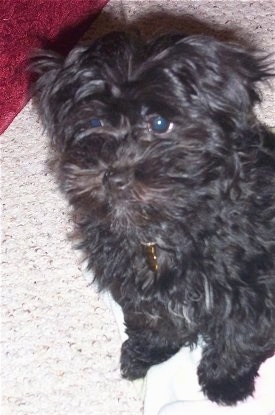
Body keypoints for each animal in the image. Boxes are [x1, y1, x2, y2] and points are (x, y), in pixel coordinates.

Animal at [32, 31, 275, 406]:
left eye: (159, 123)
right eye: (94, 123)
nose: (114, 176)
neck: (161, 227)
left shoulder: (254, 287)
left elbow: (241, 335)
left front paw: (224, 383)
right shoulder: (136, 284)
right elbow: (155, 321)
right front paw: (146, 353)